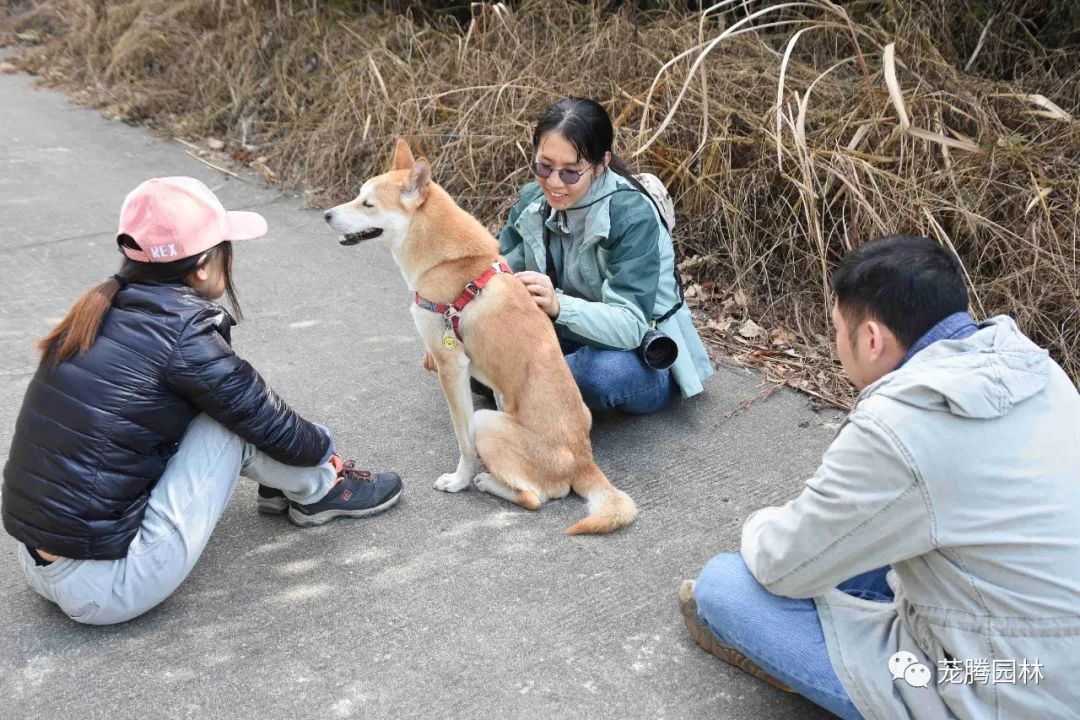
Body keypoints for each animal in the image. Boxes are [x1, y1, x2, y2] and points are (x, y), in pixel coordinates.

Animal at [324, 140, 635, 535]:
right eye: (358, 196)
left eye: (368, 204)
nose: (326, 215)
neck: (451, 262)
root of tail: (583, 460)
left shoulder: (451, 367)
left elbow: (464, 442)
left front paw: (459, 480)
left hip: (487, 421)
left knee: (535, 497)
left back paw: (487, 482)